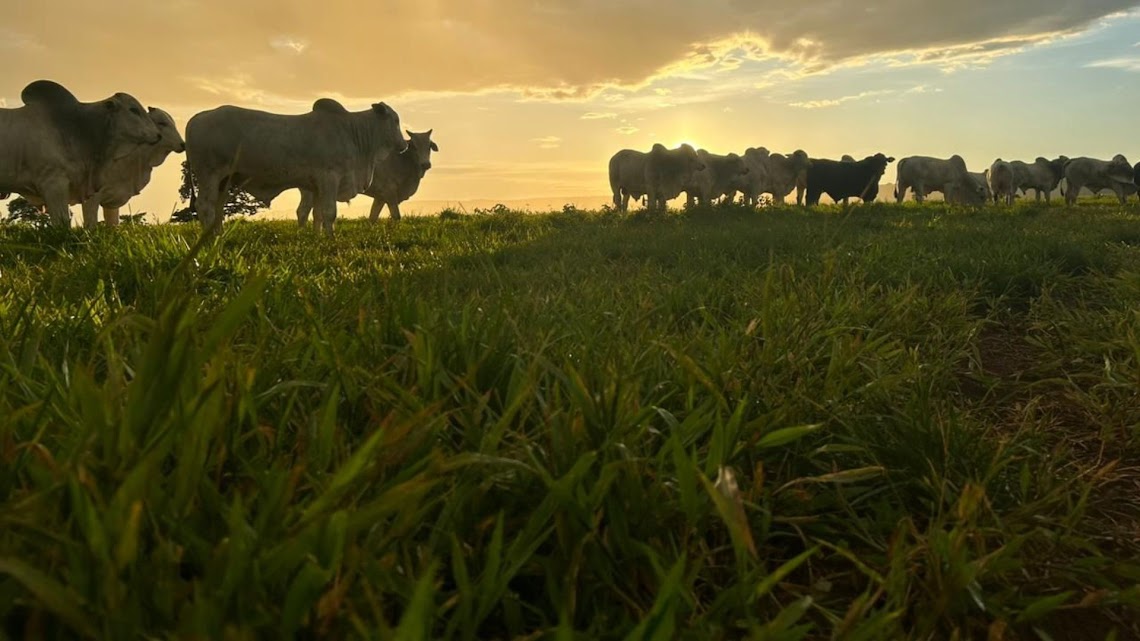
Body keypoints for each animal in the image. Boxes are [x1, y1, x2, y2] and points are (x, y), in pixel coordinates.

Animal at [183, 95, 405, 233]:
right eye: (395, 121)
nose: (403, 145)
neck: (352, 131)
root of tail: (196, 118)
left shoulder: (316, 186)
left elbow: (317, 215)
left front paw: (318, 238)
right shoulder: (329, 178)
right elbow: (329, 213)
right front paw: (331, 239)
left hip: (224, 181)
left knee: (218, 208)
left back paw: (218, 235)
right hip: (209, 175)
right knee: (205, 206)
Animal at [296, 127, 437, 224]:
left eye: (429, 146)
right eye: (414, 146)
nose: (426, 164)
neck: (402, 161)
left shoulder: (380, 197)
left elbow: (372, 217)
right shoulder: (390, 193)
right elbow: (396, 216)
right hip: (308, 191)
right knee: (302, 212)